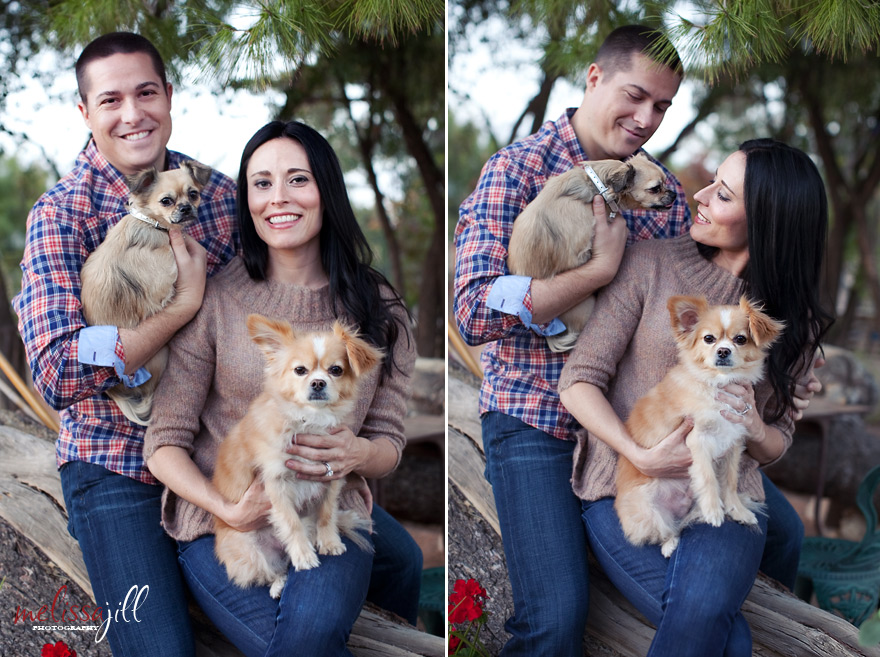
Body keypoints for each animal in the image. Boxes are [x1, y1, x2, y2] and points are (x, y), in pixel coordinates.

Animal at [80, 160, 212, 425]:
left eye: (193, 194)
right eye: (166, 201)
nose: (186, 208)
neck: (152, 224)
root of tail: (114, 390)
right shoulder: (167, 278)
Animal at [212, 314, 382, 599]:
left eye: (336, 370)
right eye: (300, 370)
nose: (318, 383)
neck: (312, 419)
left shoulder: (332, 475)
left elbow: (327, 513)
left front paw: (329, 541)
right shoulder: (276, 483)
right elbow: (291, 523)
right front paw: (304, 555)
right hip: (249, 552)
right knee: (269, 571)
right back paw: (278, 583)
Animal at [614, 295, 784, 557]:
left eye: (740, 339)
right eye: (709, 339)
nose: (723, 351)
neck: (718, 383)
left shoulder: (734, 444)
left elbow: (730, 481)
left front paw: (736, 509)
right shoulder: (698, 439)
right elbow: (708, 477)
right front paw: (714, 510)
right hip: (648, 510)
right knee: (666, 529)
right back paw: (670, 544)